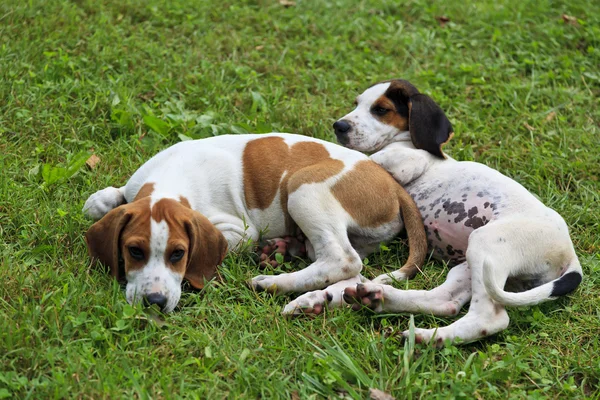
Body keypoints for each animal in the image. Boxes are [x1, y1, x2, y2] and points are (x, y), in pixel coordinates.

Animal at [83, 133, 426, 314]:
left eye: (178, 254)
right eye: (134, 251)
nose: (154, 302)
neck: (170, 179)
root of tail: (393, 184)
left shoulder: (238, 231)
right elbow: (109, 200)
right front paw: (101, 199)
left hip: (303, 188)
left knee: (342, 260)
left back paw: (272, 281)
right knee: (345, 266)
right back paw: (287, 255)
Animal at [326, 80, 584, 344]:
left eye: (381, 110)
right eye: (357, 103)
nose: (339, 126)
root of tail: (570, 254)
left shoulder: (406, 162)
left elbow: (369, 157)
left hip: (485, 243)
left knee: (488, 318)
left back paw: (426, 336)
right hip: (470, 266)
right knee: (445, 302)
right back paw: (388, 306)